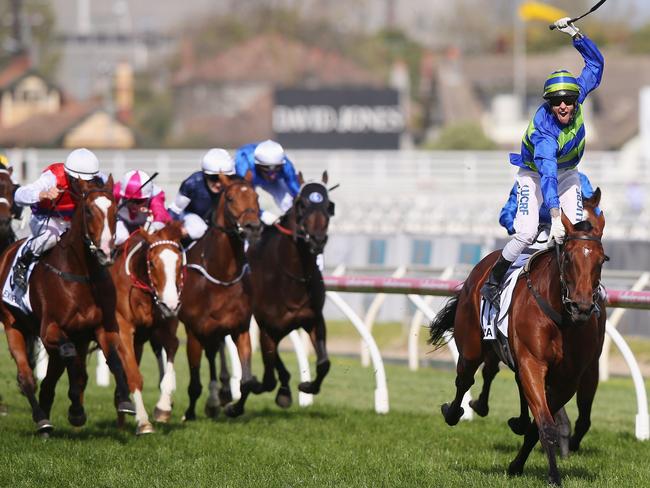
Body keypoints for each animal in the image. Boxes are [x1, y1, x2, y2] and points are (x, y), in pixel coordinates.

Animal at [0, 175, 133, 434]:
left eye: (115, 212)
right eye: (89, 211)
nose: (105, 252)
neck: (82, 275)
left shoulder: (101, 327)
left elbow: (112, 358)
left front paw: (125, 401)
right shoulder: (50, 329)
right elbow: (72, 360)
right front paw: (76, 410)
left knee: (51, 378)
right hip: (13, 325)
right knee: (27, 377)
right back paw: (42, 419)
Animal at [111, 221, 185, 434]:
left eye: (179, 263)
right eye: (152, 263)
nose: (171, 304)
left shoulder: (164, 324)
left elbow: (173, 346)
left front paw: (163, 407)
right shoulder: (123, 329)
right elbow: (134, 375)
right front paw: (143, 422)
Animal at [177, 173, 264, 422]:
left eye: (256, 197)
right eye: (231, 198)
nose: (253, 227)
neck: (222, 273)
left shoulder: (239, 328)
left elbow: (246, 382)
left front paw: (233, 407)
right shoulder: (194, 331)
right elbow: (194, 383)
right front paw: (189, 414)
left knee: (216, 353)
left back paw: (219, 396)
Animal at [246, 172, 332, 408]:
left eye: (329, 206)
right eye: (301, 204)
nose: (318, 239)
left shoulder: (314, 320)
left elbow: (324, 363)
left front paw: (307, 386)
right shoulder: (267, 328)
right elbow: (267, 379)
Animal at [428, 190, 604, 484]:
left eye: (601, 260)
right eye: (568, 257)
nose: (582, 307)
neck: (561, 317)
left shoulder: (569, 377)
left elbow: (539, 424)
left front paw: (517, 465)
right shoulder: (533, 362)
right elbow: (545, 423)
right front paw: (554, 477)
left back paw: (515, 421)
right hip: (472, 345)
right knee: (465, 379)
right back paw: (453, 412)